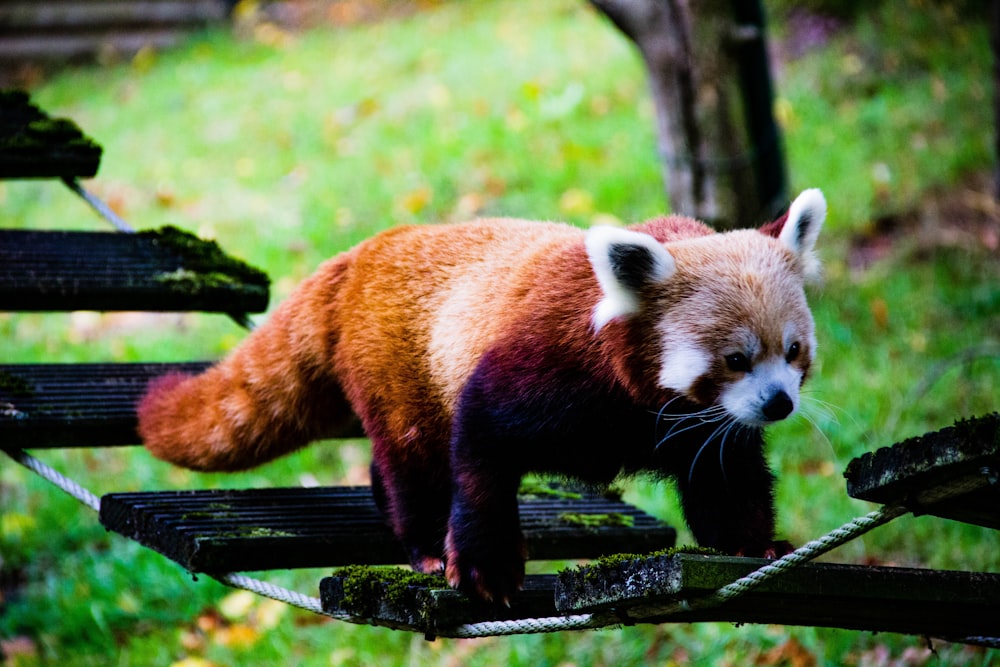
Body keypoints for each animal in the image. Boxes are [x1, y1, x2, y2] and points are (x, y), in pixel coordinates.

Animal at [141, 189, 828, 604]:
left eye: (792, 351)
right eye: (735, 359)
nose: (778, 404)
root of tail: (361, 255)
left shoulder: (700, 425)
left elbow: (725, 475)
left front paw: (753, 544)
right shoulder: (549, 368)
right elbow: (481, 446)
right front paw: (483, 565)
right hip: (399, 368)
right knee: (415, 461)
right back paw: (422, 544)